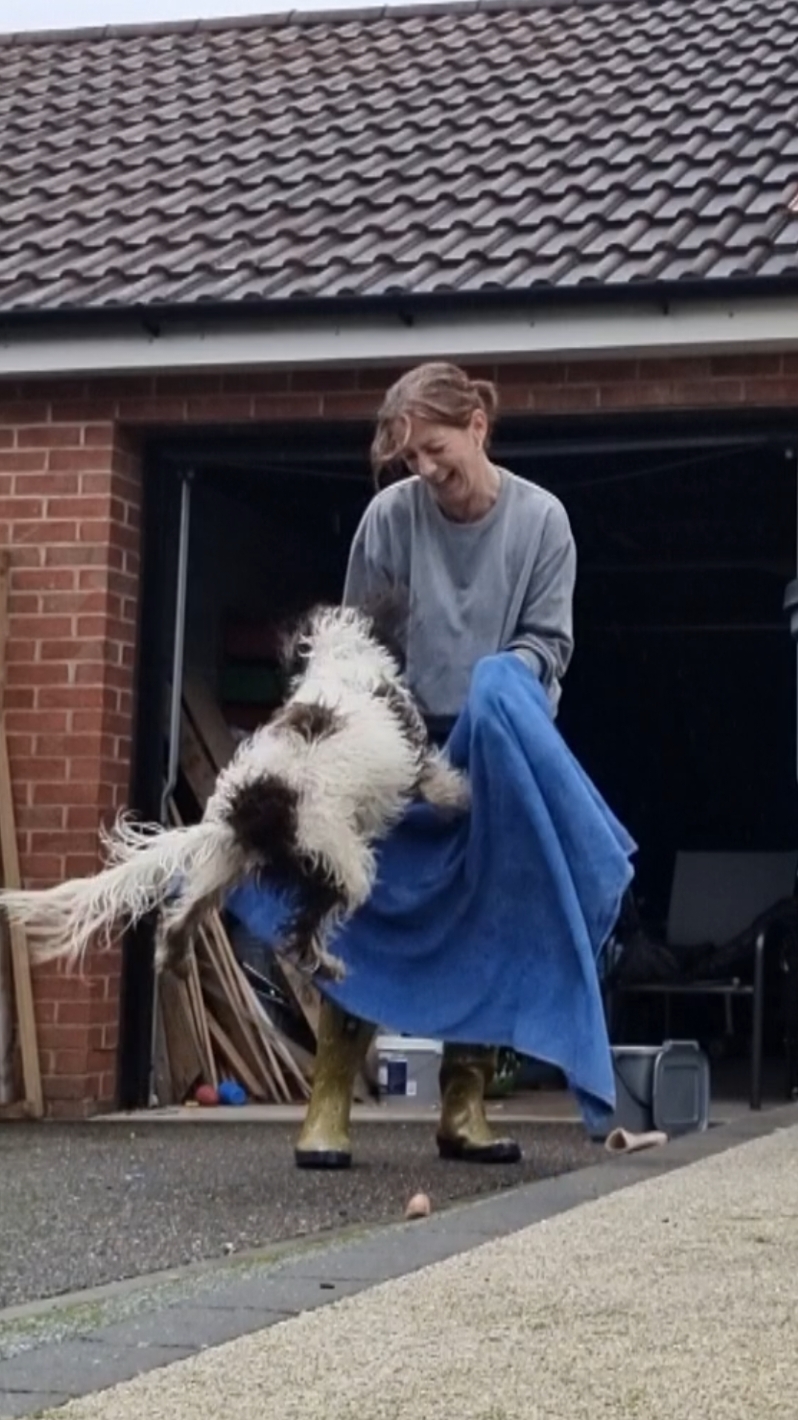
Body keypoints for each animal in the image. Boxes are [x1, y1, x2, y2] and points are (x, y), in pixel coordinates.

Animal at [0, 602, 468, 988]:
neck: (341, 658)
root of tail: (251, 808)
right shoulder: (419, 761)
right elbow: (441, 783)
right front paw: (462, 802)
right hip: (341, 862)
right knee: (300, 935)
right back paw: (327, 964)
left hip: (225, 863)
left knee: (181, 920)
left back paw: (174, 960)